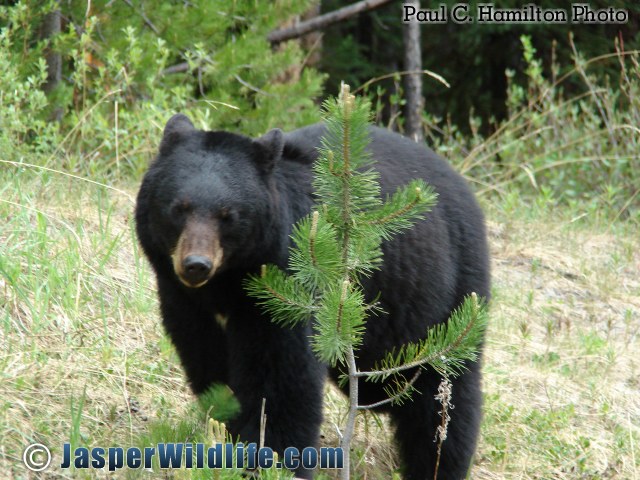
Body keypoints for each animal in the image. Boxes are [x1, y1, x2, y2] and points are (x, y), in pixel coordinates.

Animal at [135, 113, 490, 480]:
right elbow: (209, 366)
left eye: (228, 215)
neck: (226, 284)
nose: (196, 265)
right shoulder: (184, 303)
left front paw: (273, 460)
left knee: (442, 394)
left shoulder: (281, 291)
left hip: (447, 293)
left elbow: (281, 380)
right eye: (179, 208)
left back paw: (437, 464)